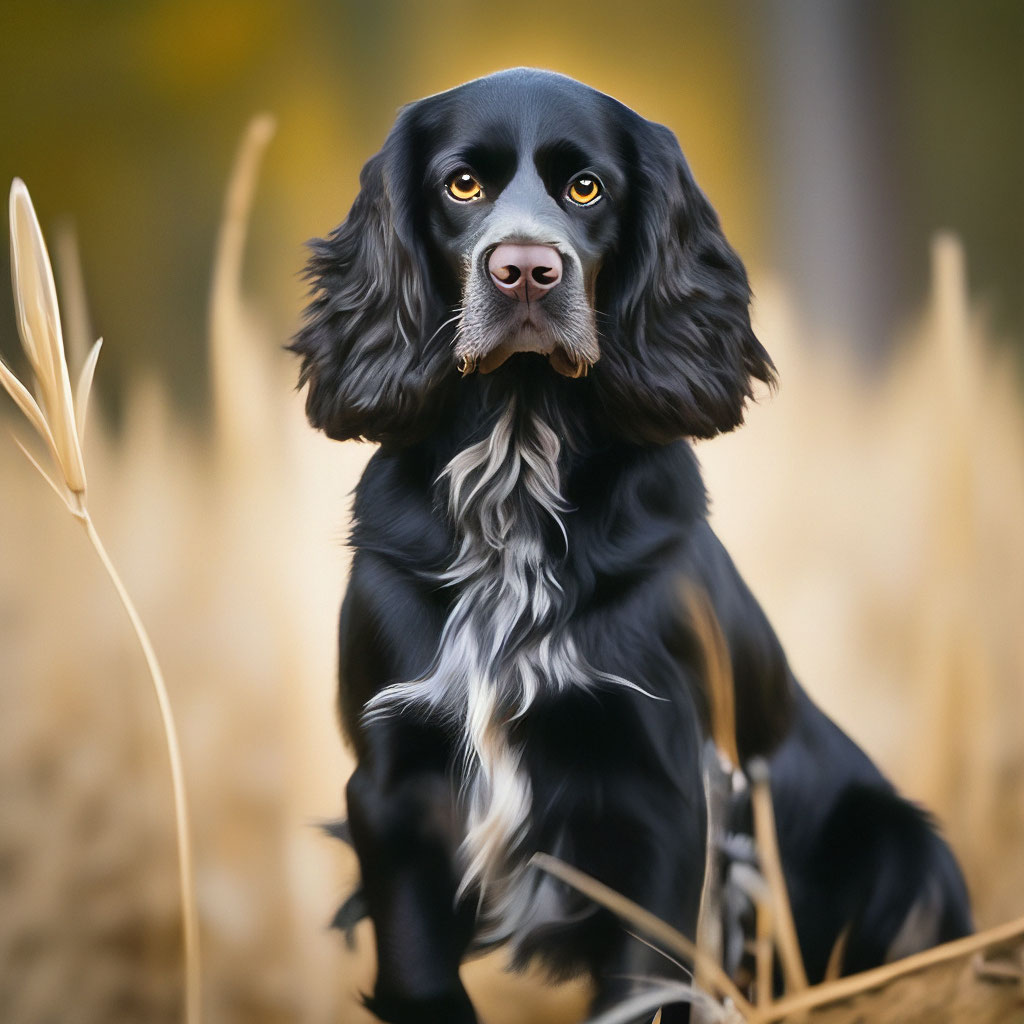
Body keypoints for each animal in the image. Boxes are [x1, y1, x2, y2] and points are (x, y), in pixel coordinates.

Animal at [292, 68, 970, 1019]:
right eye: (462, 185)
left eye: (587, 188)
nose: (526, 273)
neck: (517, 471)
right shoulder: (392, 785)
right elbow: (420, 975)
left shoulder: (665, 791)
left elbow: (644, 983)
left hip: (907, 849)